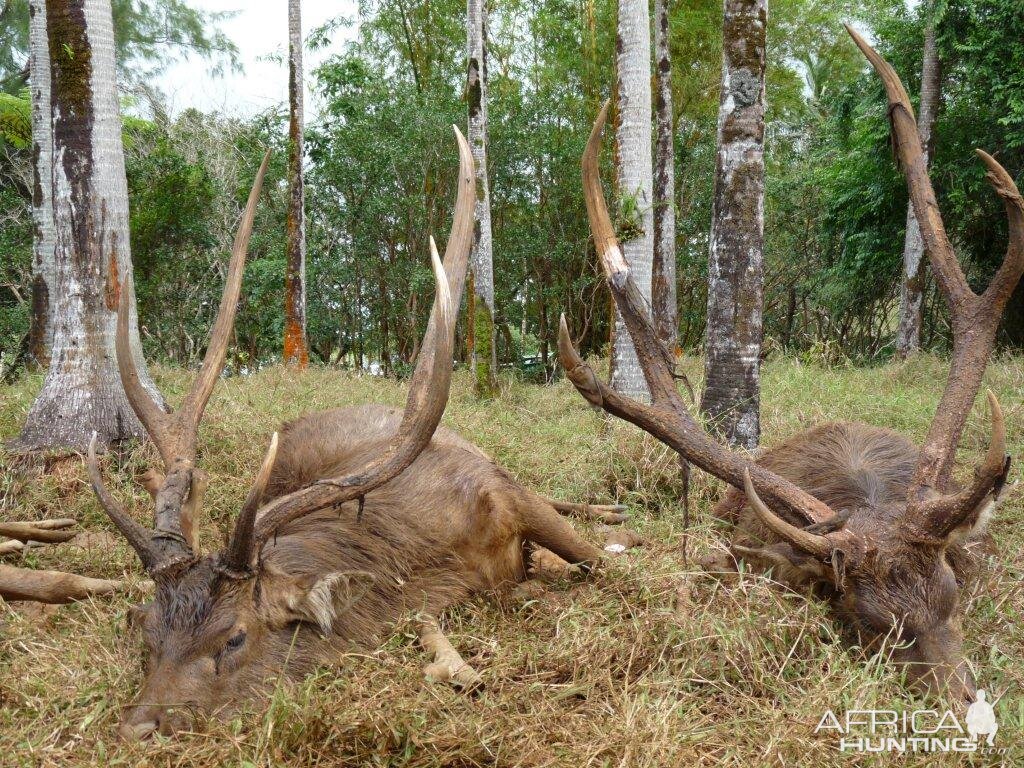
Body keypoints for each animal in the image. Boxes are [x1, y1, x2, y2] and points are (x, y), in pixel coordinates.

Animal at [86, 129, 614, 741]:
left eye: (234, 637)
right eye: (147, 634)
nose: (137, 728)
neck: (429, 556)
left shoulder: (505, 491)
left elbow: (600, 561)